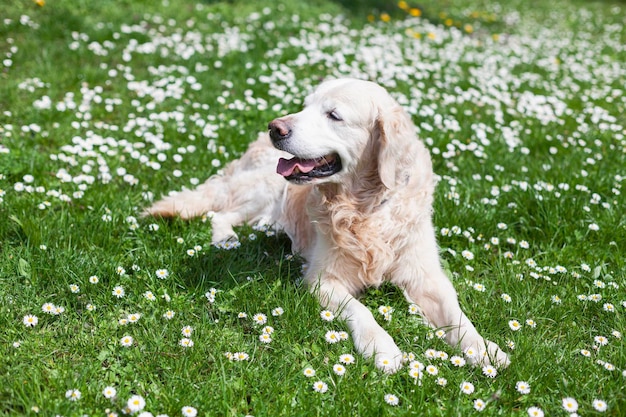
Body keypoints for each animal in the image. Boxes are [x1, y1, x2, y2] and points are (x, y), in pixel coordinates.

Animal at [145, 78, 508, 370]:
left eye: (333, 115)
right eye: (305, 106)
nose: (275, 127)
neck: (364, 209)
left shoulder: (426, 276)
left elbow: (457, 315)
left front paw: (484, 351)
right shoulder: (322, 279)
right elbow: (361, 310)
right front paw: (383, 348)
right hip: (265, 186)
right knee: (222, 211)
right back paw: (226, 240)